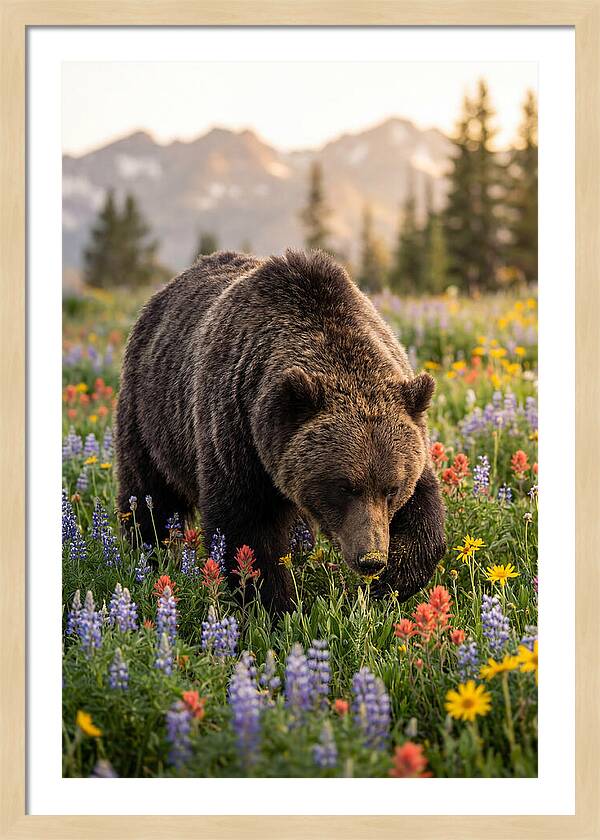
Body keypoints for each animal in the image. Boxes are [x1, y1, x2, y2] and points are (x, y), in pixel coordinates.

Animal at [115, 249, 446, 614]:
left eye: (392, 489)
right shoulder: (237, 433)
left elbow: (425, 511)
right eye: (344, 487)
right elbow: (247, 531)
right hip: (151, 416)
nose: (370, 558)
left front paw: (390, 584)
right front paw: (274, 607)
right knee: (149, 493)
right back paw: (146, 553)